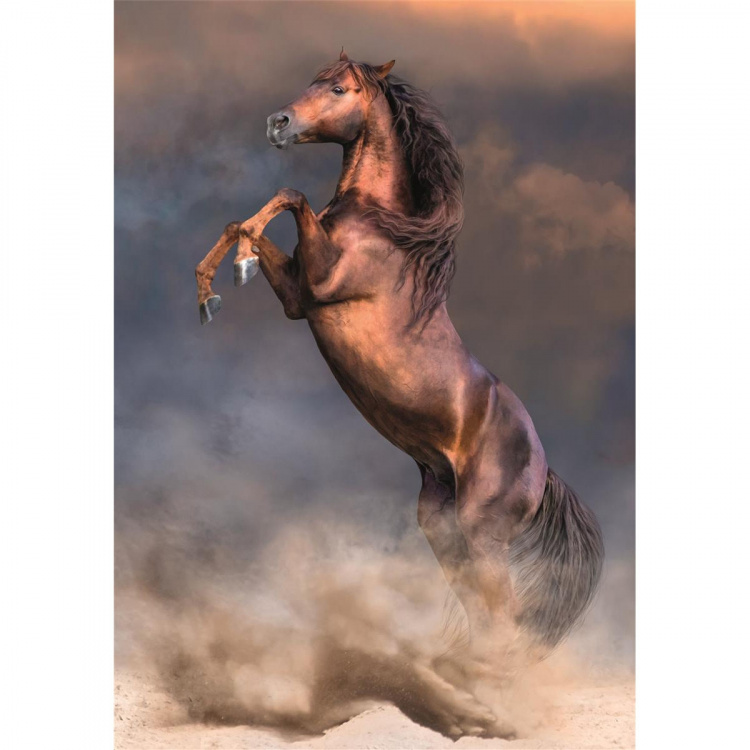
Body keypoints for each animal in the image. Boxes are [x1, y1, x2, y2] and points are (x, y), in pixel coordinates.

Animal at [195, 51, 604, 734]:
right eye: (311, 80)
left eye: (338, 88)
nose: (278, 123)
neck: (379, 227)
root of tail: (544, 469)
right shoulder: (299, 297)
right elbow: (246, 220)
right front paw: (214, 285)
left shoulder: (320, 282)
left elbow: (290, 194)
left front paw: (234, 270)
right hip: (443, 528)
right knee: (485, 617)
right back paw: (465, 695)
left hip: (482, 532)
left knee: (504, 618)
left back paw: (486, 703)